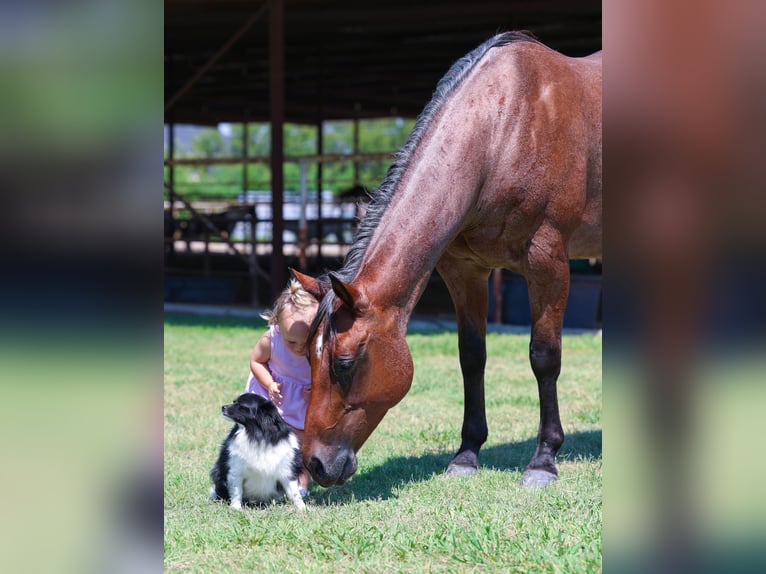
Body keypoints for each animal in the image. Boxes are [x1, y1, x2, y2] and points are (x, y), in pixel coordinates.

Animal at [293, 31, 602, 488]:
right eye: (307, 358)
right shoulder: (464, 270)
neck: (504, 130)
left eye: (344, 363)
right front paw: (466, 455)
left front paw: (543, 460)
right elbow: (471, 356)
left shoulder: (549, 266)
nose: (315, 465)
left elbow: (544, 357)